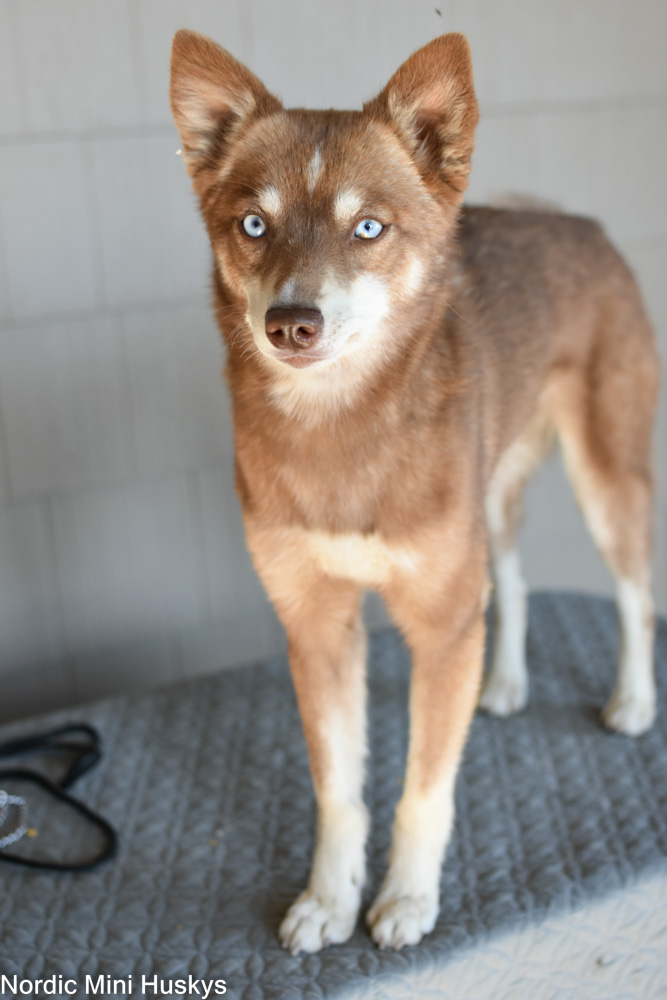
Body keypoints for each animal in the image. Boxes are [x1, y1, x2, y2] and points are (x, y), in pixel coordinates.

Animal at [169, 30, 659, 954]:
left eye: (368, 228)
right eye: (253, 224)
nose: (290, 324)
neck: (338, 427)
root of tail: (576, 222)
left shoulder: (436, 624)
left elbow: (422, 790)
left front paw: (404, 898)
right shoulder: (316, 624)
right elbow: (338, 790)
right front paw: (328, 899)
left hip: (605, 474)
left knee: (632, 591)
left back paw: (632, 701)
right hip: (486, 496)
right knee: (510, 579)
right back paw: (501, 684)